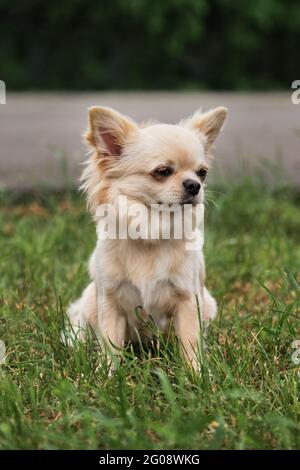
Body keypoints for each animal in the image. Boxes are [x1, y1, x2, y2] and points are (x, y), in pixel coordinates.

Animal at [67, 104, 227, 370]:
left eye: (202, 173)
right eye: (163, 172)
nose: (194, 185)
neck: (153, 228)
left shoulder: (188, 300)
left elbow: (190, 342)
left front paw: (196, 374)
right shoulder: (109, 301)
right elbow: (110, 344)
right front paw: (107, 374)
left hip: (207, 304)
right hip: (90, 302)